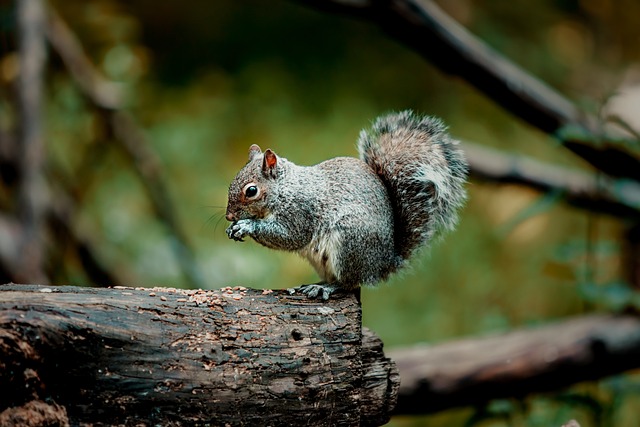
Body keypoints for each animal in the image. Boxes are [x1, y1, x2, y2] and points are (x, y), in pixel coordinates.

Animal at [228, 111, 468, 300]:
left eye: (251, 191)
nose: (229, 216)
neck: (285, 188)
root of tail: (382, 264)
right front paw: (233, 228)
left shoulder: (300, 212)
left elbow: (290, 237)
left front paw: (246, 225)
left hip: (349, 243)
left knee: (350, 284)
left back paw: (326, 288)